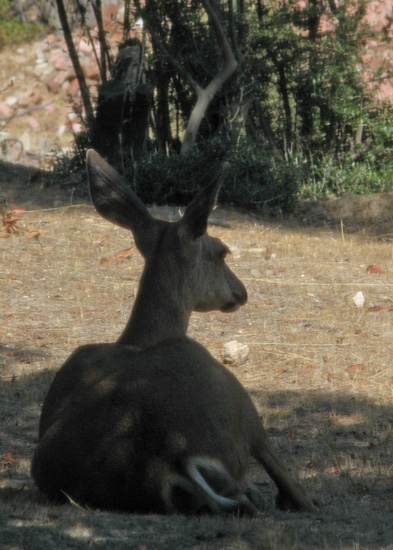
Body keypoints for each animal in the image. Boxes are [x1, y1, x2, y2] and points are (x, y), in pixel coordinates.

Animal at [30, 151, 314, 516]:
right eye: (222, 252)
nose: (241, 291)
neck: (140, 339)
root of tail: (168, 460)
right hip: (242, 409)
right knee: (286, 488)